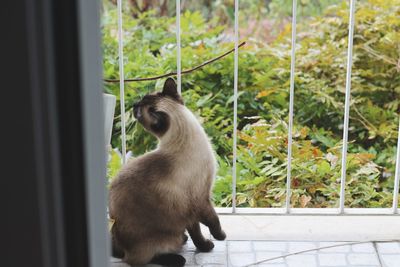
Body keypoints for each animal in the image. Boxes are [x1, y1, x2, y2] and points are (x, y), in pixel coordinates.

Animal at [108, 78, 227, 267]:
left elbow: (196, 232)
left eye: (140, 107)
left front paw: (204, 247)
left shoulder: (188, 210)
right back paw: (177, 259)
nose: (134, 104)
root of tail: (122, 248)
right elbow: (213, 221)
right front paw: (220, 237)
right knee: (140, 259)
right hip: (166, 239)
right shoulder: (201, 200)